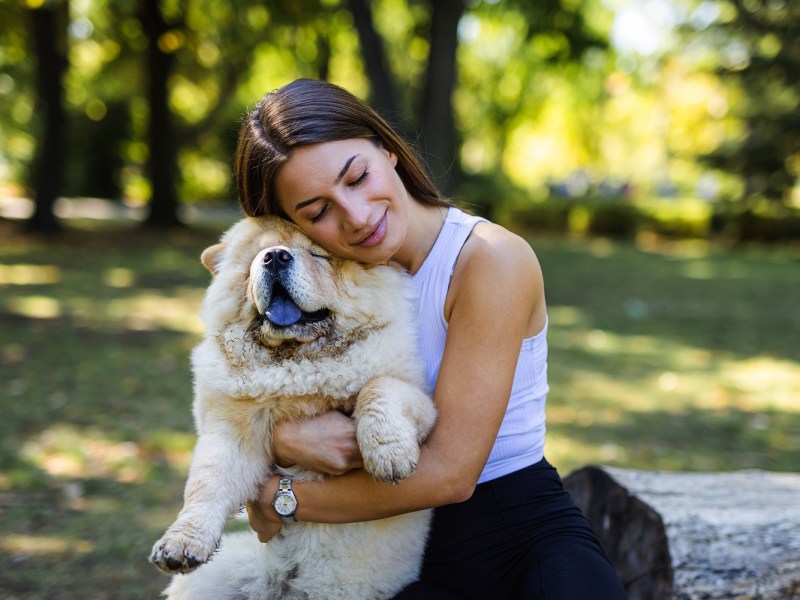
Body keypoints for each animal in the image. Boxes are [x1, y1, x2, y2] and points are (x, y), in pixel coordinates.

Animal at [150, 217, 438, 600]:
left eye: (318, 255)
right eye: (256, 257)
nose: (274, 257)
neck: (295, 363)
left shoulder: (420, 398)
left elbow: (377, 388)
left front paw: (389, 457)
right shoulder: (230, 433)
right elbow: (206, 485)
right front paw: (180, 544)